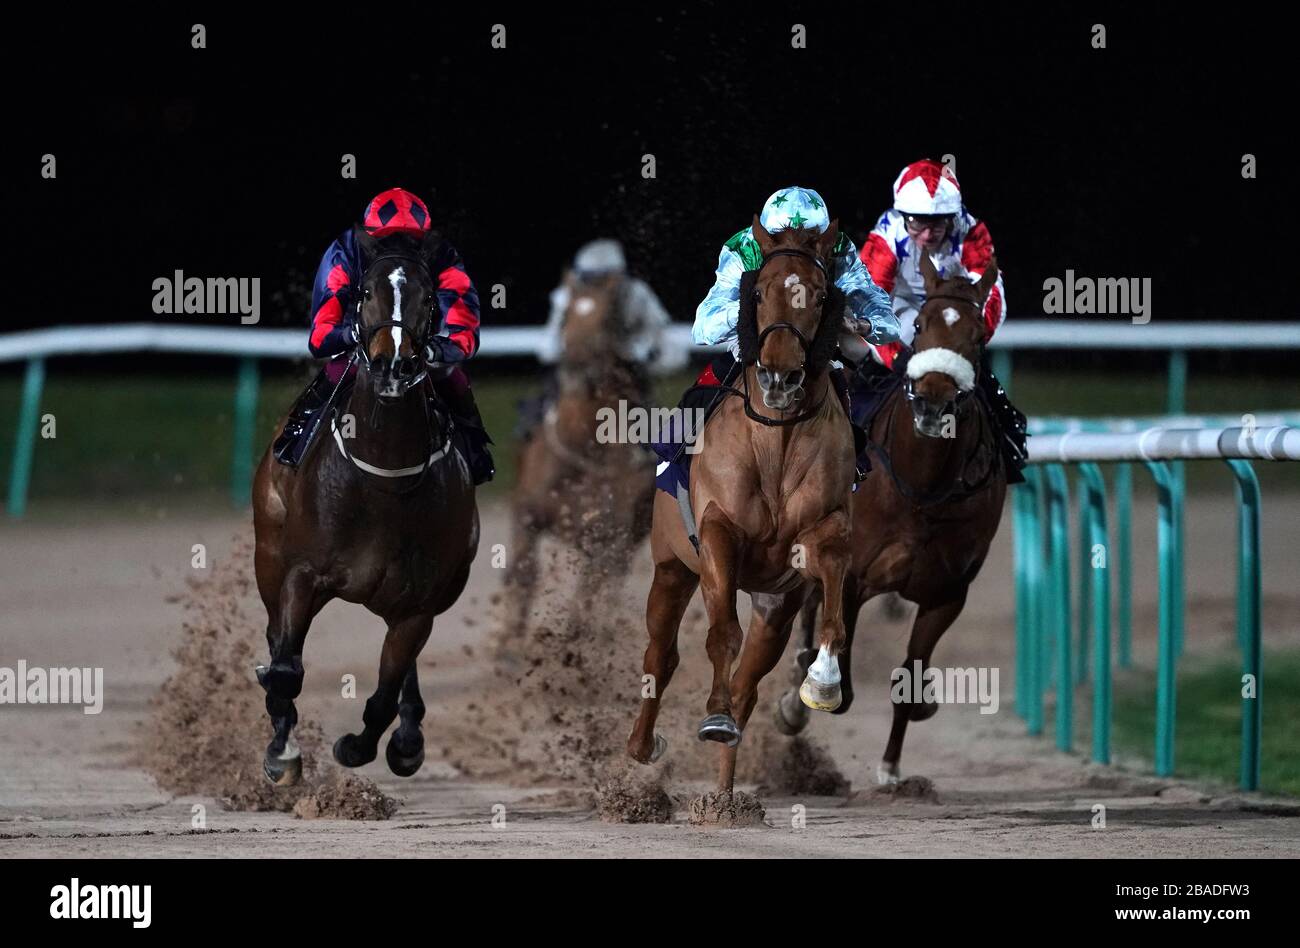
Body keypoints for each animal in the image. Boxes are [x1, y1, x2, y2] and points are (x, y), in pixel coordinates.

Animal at [250, 227, 480, 785]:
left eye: (428, 297)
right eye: (365, 291)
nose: (393, 363)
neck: (383, 480)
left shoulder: (419, 601)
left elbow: (384, 693)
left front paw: (363, 746)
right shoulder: (302, 574)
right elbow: (286, 670)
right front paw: (281, 752)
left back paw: (408, 737)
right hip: (268, 557)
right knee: (277, 637)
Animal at [501, 266, 655, 637]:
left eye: (607, 320)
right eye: (565, 315)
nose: (574, 368)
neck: (585, 449)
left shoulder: (610, 540)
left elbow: (587, 599)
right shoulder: (526, 511)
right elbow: (525, 572)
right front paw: (508, 644)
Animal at [626, 219, 852, 801]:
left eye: (820, 295)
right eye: (758, 292)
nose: (779, 376)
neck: (776, 442)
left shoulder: (822, 537)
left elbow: (833, 614)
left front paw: (822, 682)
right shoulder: (717, 535)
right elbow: (721, 633)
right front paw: (713, 716)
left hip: (774, 607)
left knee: (749, 684)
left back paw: (726, 797)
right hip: (670, 568)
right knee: (660, 654)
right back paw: (643, 745)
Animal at [769, 250, 1003, 785]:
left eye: (978, 334)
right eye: (918, 324)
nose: (934, 402)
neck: (923, 488)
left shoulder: (947, 593)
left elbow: (910, 681)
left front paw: (893, 765)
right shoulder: (855, 576)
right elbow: (842, 680)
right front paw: (803, 693)